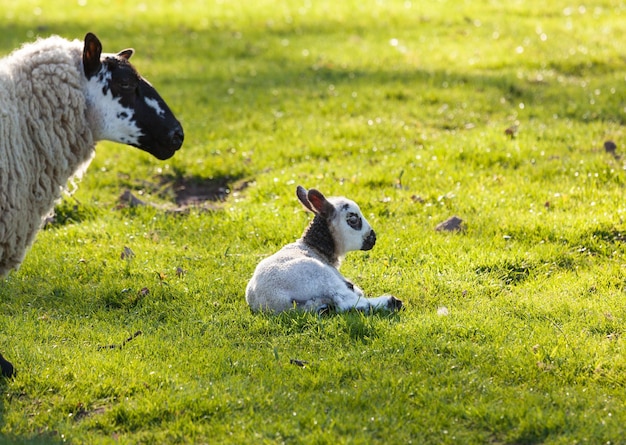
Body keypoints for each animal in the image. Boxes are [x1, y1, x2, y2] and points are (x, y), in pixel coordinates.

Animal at [244, 186, 400, 314]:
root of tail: (273, 301)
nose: (373, 239)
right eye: (353, 219)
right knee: (347, 301)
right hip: (319, 277)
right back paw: (392, 302)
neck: (314, 247)